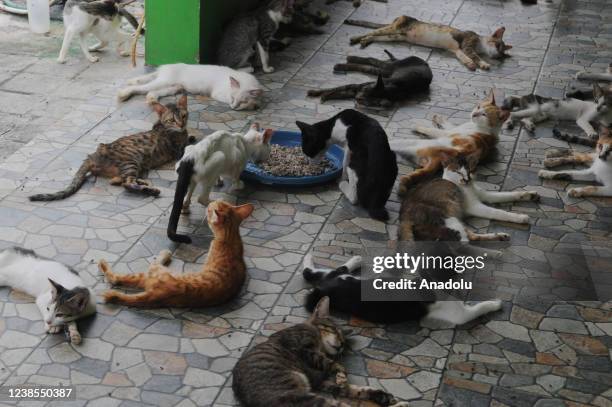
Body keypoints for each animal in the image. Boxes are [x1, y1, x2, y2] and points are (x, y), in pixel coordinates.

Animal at [28, 96, 191, 204]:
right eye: (172, 120)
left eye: (184, 115)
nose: (182, 125)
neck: (163, 126)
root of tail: (93, 155)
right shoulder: (178, 150)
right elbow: (190, 141)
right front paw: (192, 137)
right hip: (132, 160)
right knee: (126, 183)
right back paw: (150, 190)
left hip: (133, 166)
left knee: (117, 180)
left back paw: (143, 183)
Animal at [99, 199, 252, 308]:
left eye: (210, 208)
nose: (209, 203)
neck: (230, 238)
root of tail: (157, 295)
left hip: (151, 272)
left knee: (116, 277)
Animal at [118, 63, 264, 110]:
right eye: (233, 98)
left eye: (242, 100)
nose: (233, 108)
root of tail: (165, 67)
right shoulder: (217, 94)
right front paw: (252, 105)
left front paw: (253, 103)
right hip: (164, 81)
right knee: (142, 88)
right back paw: (123, 94)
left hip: (174, 87)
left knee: (152, 92)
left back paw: (152, 100)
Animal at [232, 296, 408, 407]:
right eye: (333, 330)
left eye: (344, 341)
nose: (341, 345)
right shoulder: (305, 349)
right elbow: (336, 365)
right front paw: (342, 375)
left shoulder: (320, 381)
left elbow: (350, 389)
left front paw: (380, 395)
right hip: (302, 398)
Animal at [344, 16, 512, 71]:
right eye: (498, 45)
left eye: (502, 54)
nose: (498, 55)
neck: (480, 43)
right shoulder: (467, 45)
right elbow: (475, 56)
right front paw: (483, 63)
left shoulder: (458, 50)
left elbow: (464, 57)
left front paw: (470, 64)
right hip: (395, 28)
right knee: (373, 31)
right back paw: (357, 38)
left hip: (395, 36)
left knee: (376, 36)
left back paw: (364, 41)